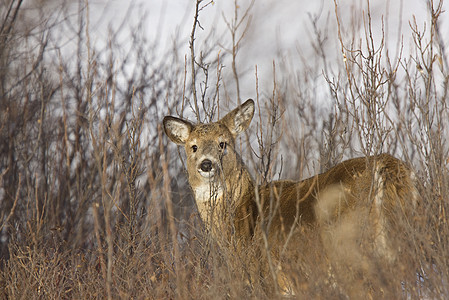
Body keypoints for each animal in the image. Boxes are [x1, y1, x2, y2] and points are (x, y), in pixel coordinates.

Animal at [163, 99, 418, 296]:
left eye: (222, 143)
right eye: (193, 147)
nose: (207, 164)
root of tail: (387, 167)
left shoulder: (270, 282)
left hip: (354, 254)